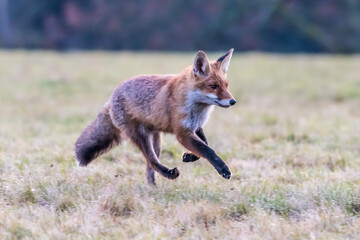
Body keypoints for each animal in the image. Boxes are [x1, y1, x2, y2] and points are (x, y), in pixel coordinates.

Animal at [74, 48, 236, 184]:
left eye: (226, 85)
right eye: (213, 86)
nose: (233, 101)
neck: (195, 105)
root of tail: (113, 94)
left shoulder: (195, 126)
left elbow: (204, 145)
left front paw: (189, 156)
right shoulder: (182, 132)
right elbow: (207, 149)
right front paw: (223, 169)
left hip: (156, 140)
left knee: (149, 167)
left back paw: (152, 188)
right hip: (141, 137)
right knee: (151, 161)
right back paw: (169, 174)